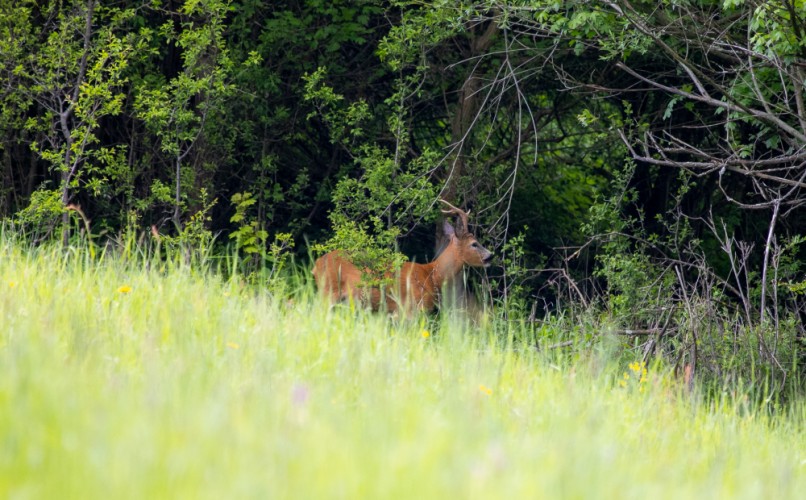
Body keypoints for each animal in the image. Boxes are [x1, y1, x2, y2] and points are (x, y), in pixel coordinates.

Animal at [314, 200, 492, 314]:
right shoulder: (411, 308)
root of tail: (316, 265)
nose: (490, 256)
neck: (432, 275)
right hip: (328, 291)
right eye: (474, 244)